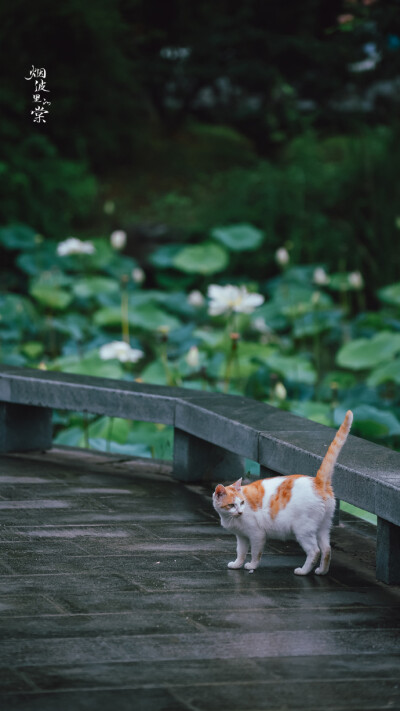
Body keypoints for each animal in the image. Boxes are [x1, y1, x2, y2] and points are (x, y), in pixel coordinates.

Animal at [212, 412, 354, 580]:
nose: (240, 512)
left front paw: (251, 566)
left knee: (315, 551)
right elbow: (240, 552)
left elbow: (255, 553)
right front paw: (237, 564)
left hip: (303, 530)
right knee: (326, 550)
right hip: (323, 526)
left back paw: (303, 571)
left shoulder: (257, 534)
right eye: (232, 505)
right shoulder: (241, 537)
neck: (230, 518)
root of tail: (318, 482)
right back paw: (321, 571)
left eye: (241, 503)